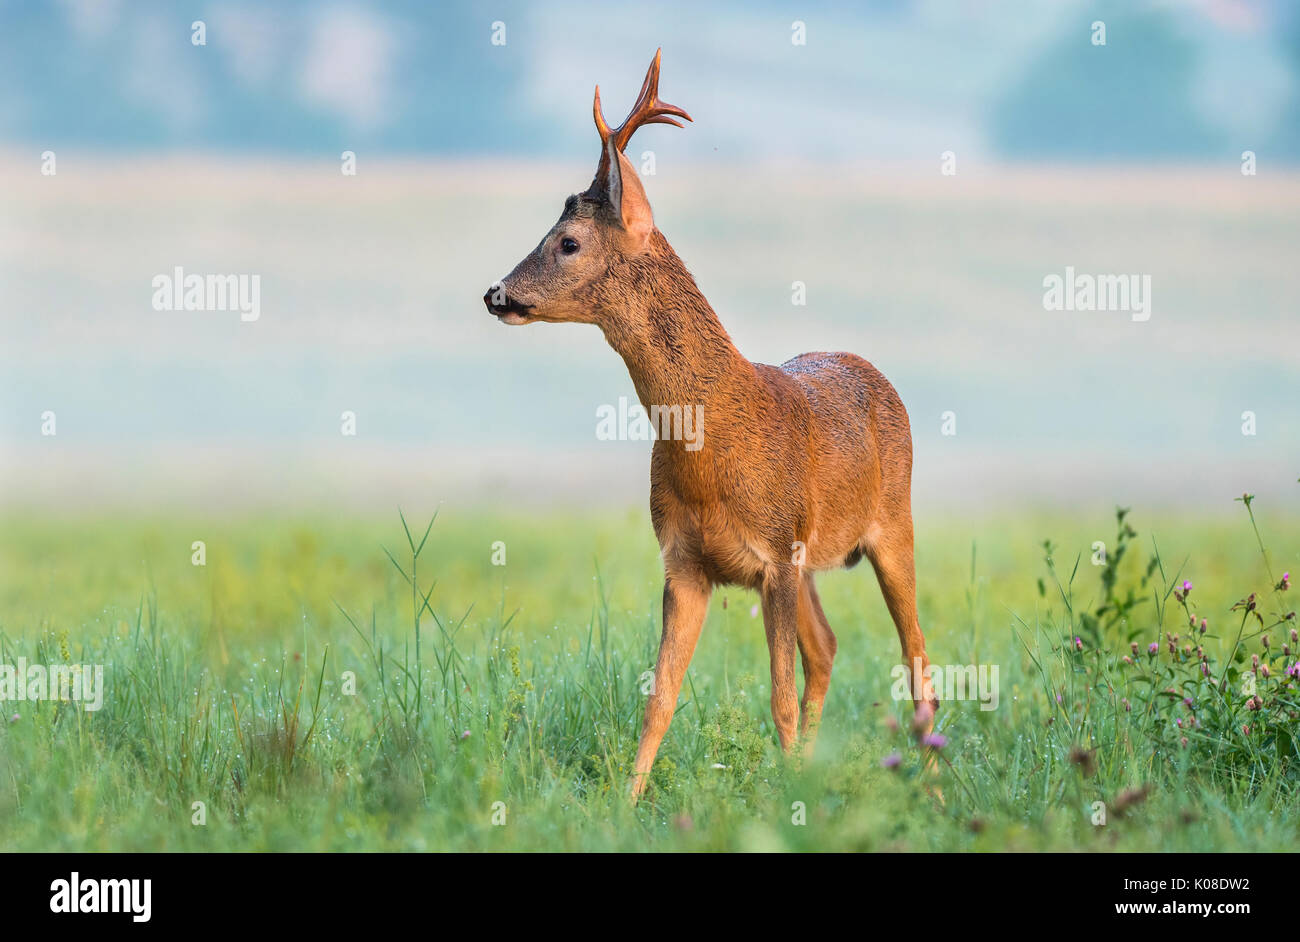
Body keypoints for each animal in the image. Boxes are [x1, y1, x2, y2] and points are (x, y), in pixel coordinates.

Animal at [483, 49, 938, 802]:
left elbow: (777, 695)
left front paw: (785, 798)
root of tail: (870, 368)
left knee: (918, 656)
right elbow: (660, 696)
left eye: (568, 242)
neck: (710, 443)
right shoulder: (686, 562)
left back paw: (931, 784)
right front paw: (627, 803)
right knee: (829, 647)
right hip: (813, 561)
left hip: (893, 523)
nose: (495, 293)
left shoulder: (777, 554)